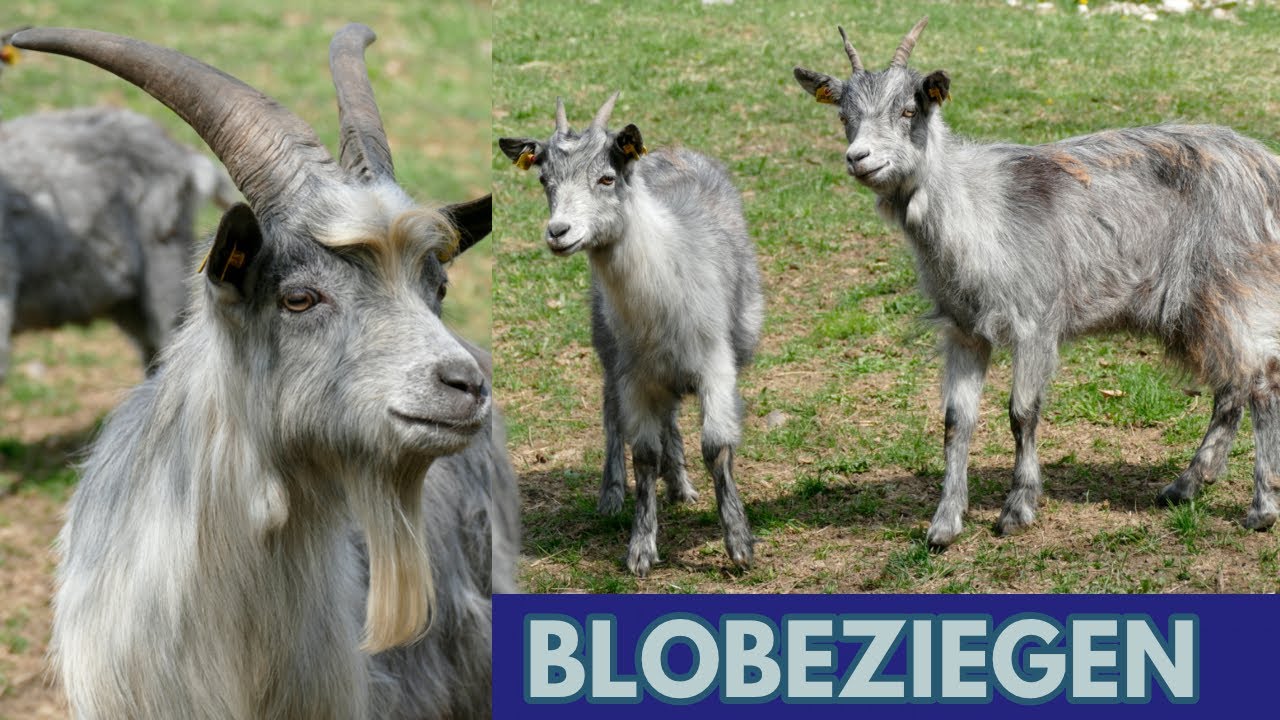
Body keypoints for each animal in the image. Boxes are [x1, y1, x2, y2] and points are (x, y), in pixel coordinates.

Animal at [500, 94, 764, 576]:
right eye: (545, 180)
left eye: (606, 178)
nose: (558, 232)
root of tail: (672, 151)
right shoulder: (634, 376)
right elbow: (643, 454)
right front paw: (640, 549)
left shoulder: (715, 363)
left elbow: (716, 446)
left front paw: (738, 543)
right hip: (609, 350)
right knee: (611, 417)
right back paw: (612, 494)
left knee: (671, 415)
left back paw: (680, 486)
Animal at [794, 16, 1280, 548]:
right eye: (844, 116)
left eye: (908, 110)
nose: (858, 158)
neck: (979, 211)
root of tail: (1264, 165)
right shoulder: (964, 330)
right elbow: (955, 422)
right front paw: (944, 525)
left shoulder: (1033, 323)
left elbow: (1021, 413)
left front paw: (1017, 508)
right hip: (1194, 311)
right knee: (1231, 385)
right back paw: (1187, 484)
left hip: (1233, 288)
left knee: (1261, 380)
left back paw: (1261, 508)